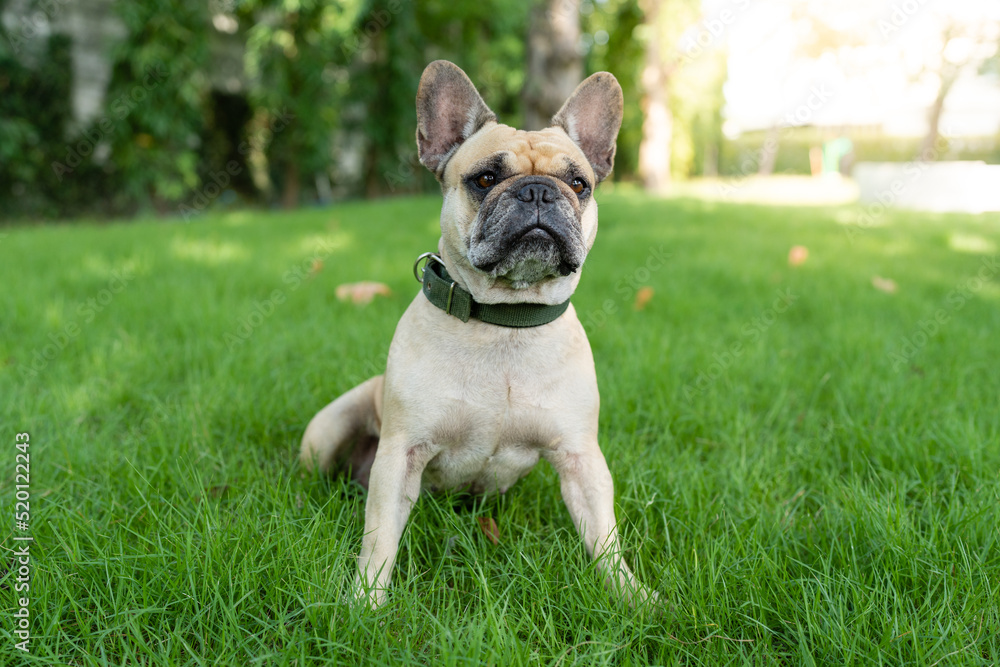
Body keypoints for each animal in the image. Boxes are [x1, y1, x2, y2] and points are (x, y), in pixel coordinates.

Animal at [300, 60, 652, 608]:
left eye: (580, 183)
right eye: (485, 179)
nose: (537, 190)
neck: (504, 321)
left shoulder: (581, 457)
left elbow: (604, 535)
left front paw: (633, 597)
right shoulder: (401, 455)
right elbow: (380, 537)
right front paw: (365, 602)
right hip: (327, 430)